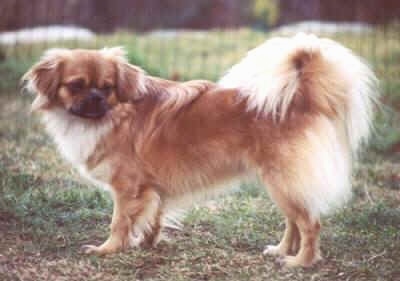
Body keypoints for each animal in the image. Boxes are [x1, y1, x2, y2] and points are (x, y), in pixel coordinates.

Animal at [22, 34, 378, 266]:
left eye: (107, 88)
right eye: (76, 86)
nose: (95, 98)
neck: (113, 115)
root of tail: (297, 97)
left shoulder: (128, 188)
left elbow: (120, 221)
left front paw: (107, 250)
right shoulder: (153, 187)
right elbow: (153, 217)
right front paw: (146, 244)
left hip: (282, 181)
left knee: (310, 224)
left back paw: (300, 262)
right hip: (279, 183)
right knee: (294, 221)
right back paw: (280, 252)